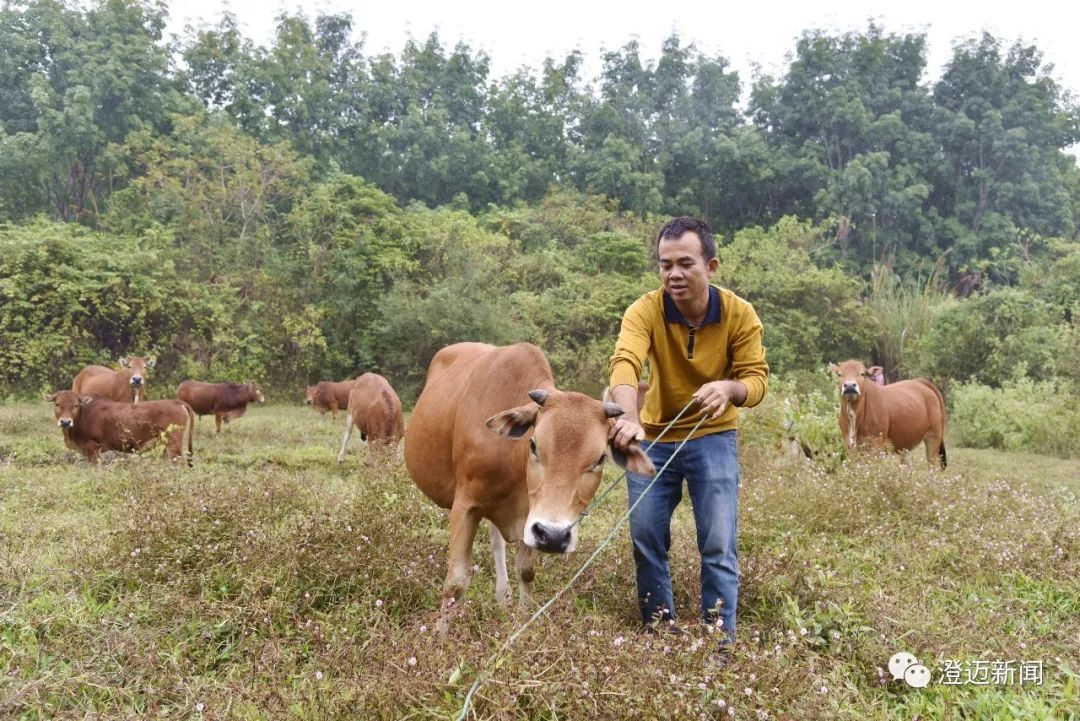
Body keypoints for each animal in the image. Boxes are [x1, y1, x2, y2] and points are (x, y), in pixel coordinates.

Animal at [45, 390, 194, 464]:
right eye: (57, 404)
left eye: (76, 405)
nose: (65, 422)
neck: (84, 414)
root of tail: (176, 402)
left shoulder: (93, 448)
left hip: (174, 444)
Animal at [406, 341, 652, 617]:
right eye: (533, 445)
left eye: (600, 459)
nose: (555, 536)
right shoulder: (465, 506)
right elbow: (456, 584)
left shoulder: (531, 518)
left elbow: (526, 572)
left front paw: (523, 618)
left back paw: (503, 596)